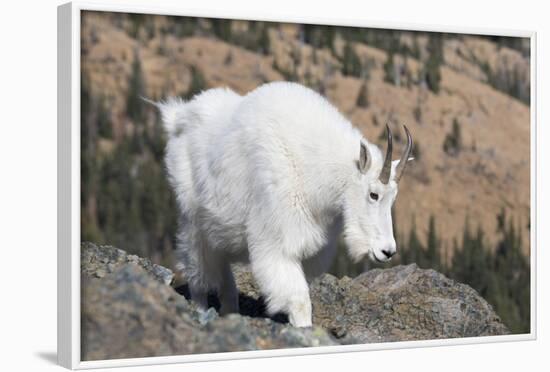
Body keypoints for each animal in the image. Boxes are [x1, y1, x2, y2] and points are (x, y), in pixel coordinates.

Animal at [155, 81, 414, 326]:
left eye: (394, 197)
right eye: (373, 194)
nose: (387, 251)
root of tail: (178, 116)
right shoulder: (278, 242)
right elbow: (299, 301)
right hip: (193, 219)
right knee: (197, 267)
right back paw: (200, 309)